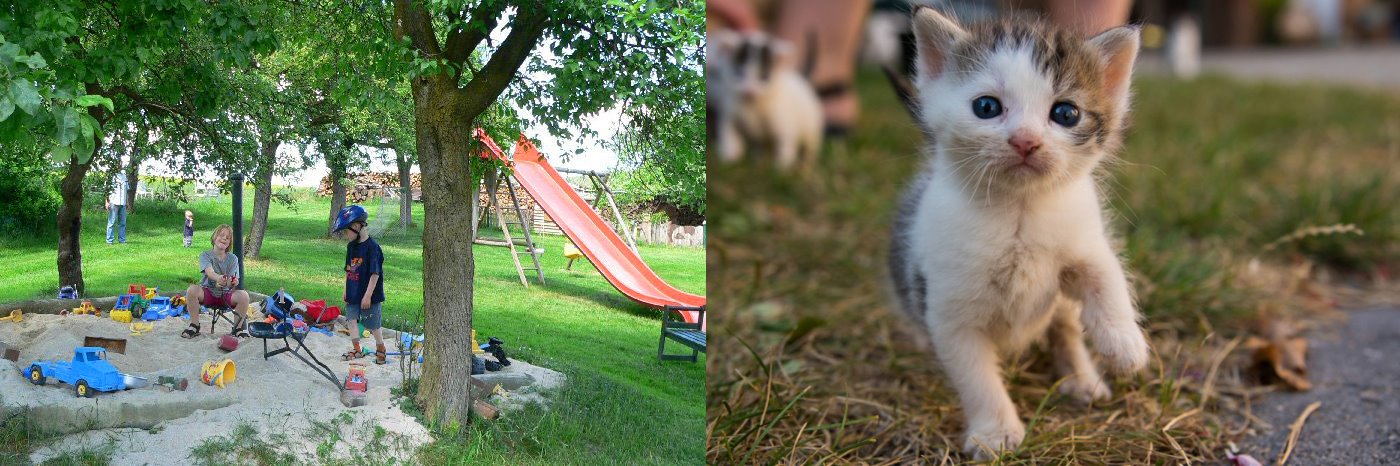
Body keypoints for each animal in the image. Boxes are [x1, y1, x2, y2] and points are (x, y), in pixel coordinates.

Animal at [711, 31, 817, 172]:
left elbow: (785, 142)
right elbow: (729, 135)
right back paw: (760, 161)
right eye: (739, 74)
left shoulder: (784, 121)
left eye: (764, 77)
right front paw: (729, 158)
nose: (750, 91)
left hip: (812, 129)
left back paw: (806, 167)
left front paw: (781, 169)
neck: (752, 107)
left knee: (809, 148)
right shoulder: (731, 115)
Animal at [884, 7, 1148, 456]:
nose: (1026, 140)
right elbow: (975, 376)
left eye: (1065, 113)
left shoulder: (1081, 237)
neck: (1018, 215)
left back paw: (1082, 378)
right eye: (987, 106)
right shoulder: (949, 310)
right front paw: (995, 432)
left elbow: (1106, 274)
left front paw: (1124, 343)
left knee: (1065, 328)